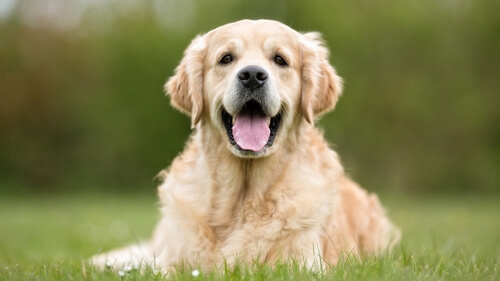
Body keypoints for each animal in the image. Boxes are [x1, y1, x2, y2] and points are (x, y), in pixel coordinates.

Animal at [92, 19, 400, 272]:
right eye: (226, 58)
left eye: (280, 59)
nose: (252, 75)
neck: (242, 198)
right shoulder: (175, 262)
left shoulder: (302, 263)